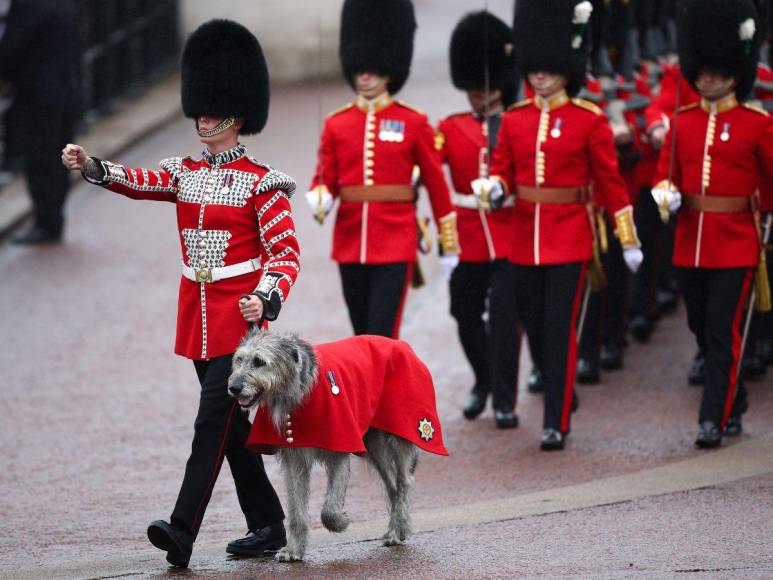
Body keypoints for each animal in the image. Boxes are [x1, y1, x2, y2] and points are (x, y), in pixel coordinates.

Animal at [228, 330, 420, 560]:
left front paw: (341, 522)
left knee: (403, 482)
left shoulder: (339, 447)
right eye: (239, 360)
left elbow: (329, 508)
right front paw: (293, 550)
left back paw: (398, 530)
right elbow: (296, 509)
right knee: (392, 484)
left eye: (259, 361)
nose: (233, 388)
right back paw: (396, 528)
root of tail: (400, 344)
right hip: (373, 445)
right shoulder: (294, 458)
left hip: (400, 431)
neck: (300, 393)